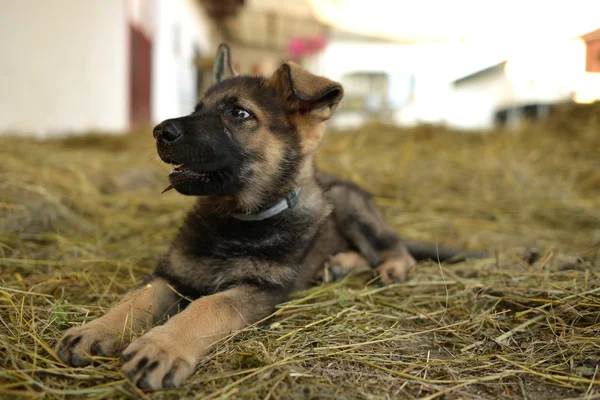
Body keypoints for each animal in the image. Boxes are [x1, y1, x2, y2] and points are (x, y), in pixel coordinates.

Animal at [54, 44, 480, 390]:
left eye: (239, 113)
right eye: (197, 110)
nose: (160, 131)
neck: (235, 221)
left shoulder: (259, 290)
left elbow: (207, 307)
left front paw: (161, 346)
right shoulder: (172, 275)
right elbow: (136, 300)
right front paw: (95, 329)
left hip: (349, 204)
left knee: (397, 250)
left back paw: (383, 267)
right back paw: (339, 264)